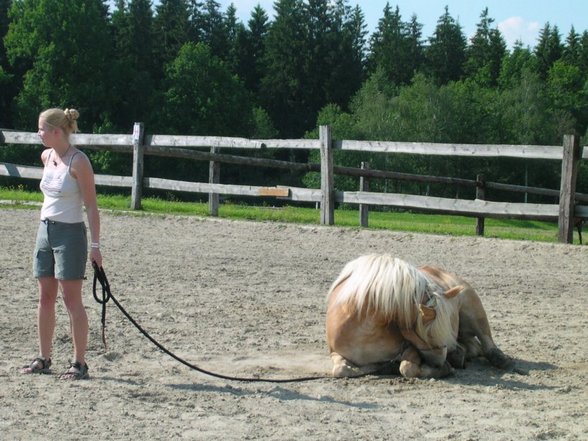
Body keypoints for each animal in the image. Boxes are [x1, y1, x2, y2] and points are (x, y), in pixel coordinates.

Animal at [324, 254, 512, 378]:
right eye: (429, 336)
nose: (440, 361)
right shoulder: (335, 353)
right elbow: (341, 370)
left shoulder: (411, 348)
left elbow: (407, 368)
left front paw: (443, 369)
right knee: (473, 347)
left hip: (473, 311)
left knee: (486, 341)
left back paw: (498, 359)